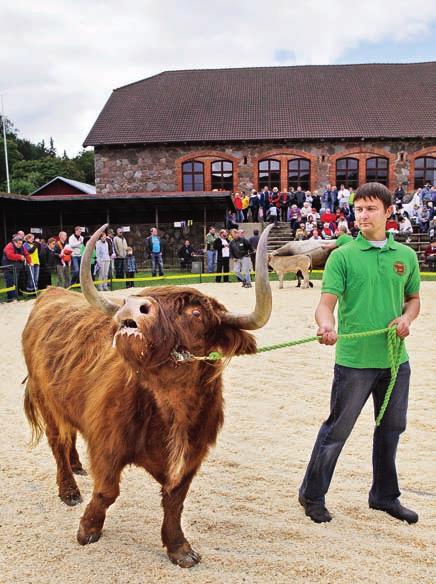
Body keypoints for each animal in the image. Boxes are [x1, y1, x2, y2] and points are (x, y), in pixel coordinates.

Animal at [22, 222, 272, 564]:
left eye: (196, 313)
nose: (132, 305)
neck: (172, 406)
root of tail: (51, 293)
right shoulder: (108, 445)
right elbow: (108, 491)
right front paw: (88, 529)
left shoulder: (191, 456)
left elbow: (175, 502)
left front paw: (180, 548)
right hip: (46, 400)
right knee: (57, 442)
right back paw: (69, 490)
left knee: (69, 436)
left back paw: (76, 466)